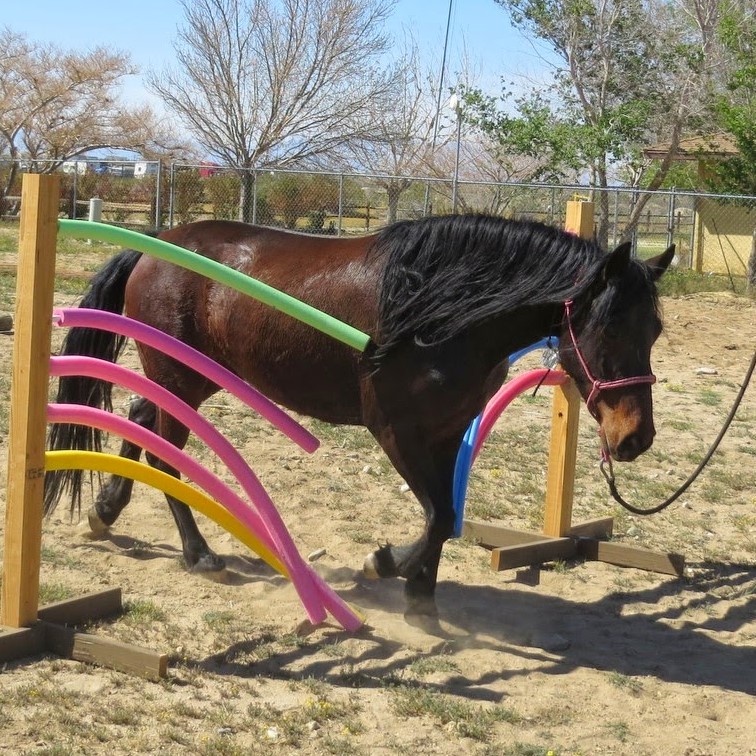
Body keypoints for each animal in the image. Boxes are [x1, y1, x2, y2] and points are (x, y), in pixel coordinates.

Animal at [44, 213, 676, 616]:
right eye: (610, 328)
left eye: (655, 330)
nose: (635, 438)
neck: (448, 312)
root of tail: (156, 243)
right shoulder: (396, 431)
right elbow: (438, 517)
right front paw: (384, 565)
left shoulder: (449, 433)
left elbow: (447, 516)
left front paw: (421, 597)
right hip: (180, 376)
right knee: (166, 455)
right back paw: (199, 556)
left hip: (188, 381)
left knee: (140, 417)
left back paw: (106, 511)